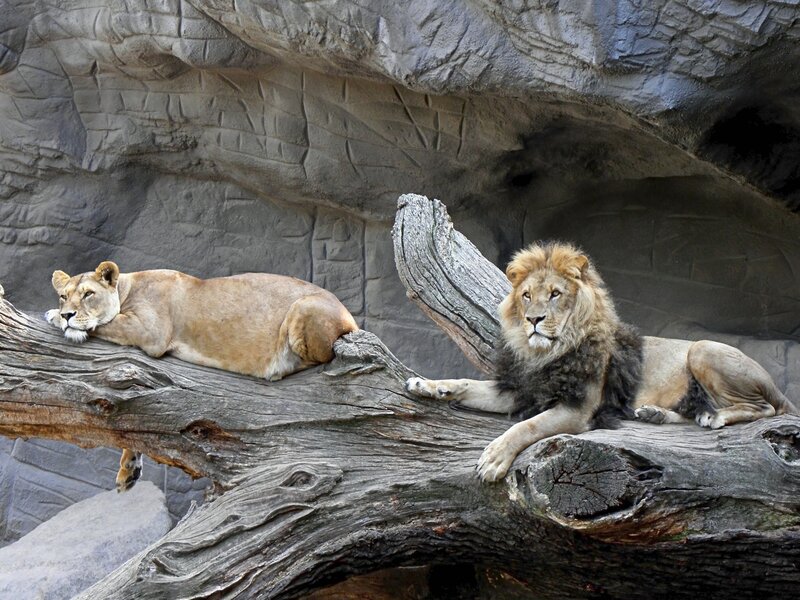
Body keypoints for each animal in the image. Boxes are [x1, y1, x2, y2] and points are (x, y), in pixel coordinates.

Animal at [46, 261, 358, 491]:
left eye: (88, 294)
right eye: (63, 296)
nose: (67, 314)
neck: (126, 289)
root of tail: (349, 315)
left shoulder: (149, 331)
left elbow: (105, 323)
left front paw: (54, 317)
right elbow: (131, 422)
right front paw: (129, 471)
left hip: (304, 307)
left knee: (320, 358)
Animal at [406, 241, 798, 482]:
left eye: (555, 294)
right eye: (527, 295)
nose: (533, 320)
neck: (546, 352)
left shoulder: (577, 409)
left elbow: (526, 428)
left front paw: (493, 459)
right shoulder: (522, 391)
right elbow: (466, 383)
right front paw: (426, 385)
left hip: (703, 350)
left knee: (764, 409)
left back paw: (713, 416)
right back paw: (656, 414)